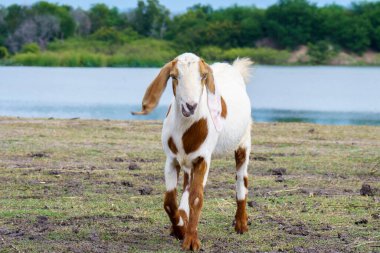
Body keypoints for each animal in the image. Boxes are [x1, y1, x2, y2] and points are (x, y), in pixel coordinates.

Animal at [132, 52, 254, 250]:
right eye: (174, 76)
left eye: (203, 76)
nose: (190, 106)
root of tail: (233, 68)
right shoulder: (171, 159)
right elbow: (169, 201)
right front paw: (180, 229)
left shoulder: (203, 159)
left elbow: (196, 198)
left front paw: (191, 241)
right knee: (187, 184)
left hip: (244, 140)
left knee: (242, 177)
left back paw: (241, 224)